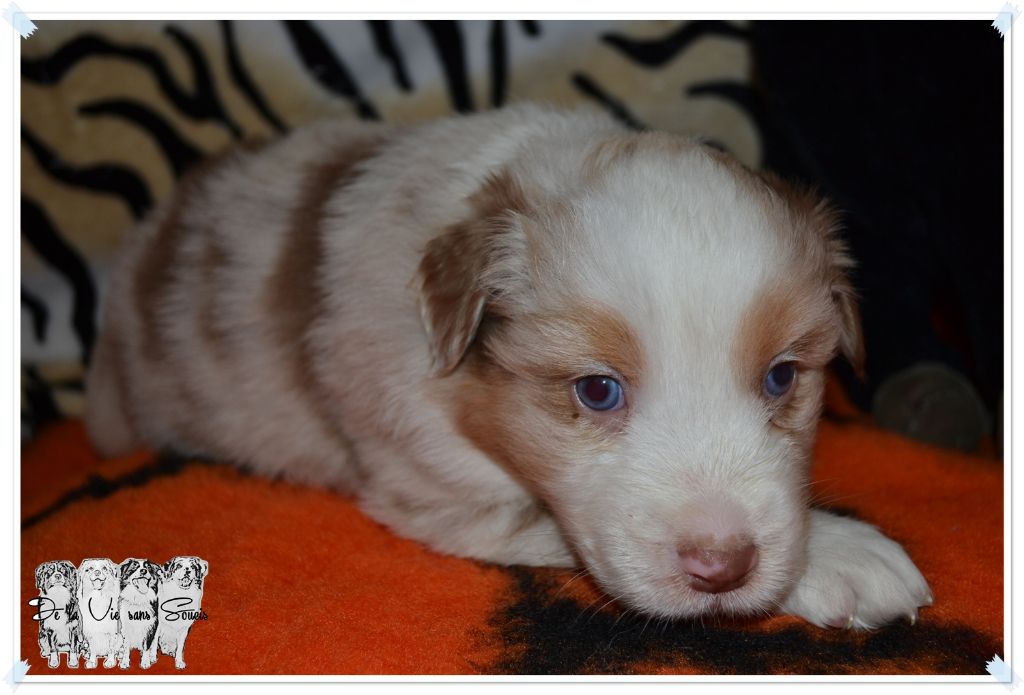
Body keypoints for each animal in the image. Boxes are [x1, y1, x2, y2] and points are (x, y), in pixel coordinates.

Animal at [85, 104, 931, 628]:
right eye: (597, 390)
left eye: (782, 377)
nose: (722, 566)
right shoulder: (435, 486)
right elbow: (555, 527)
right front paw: (847, 551)